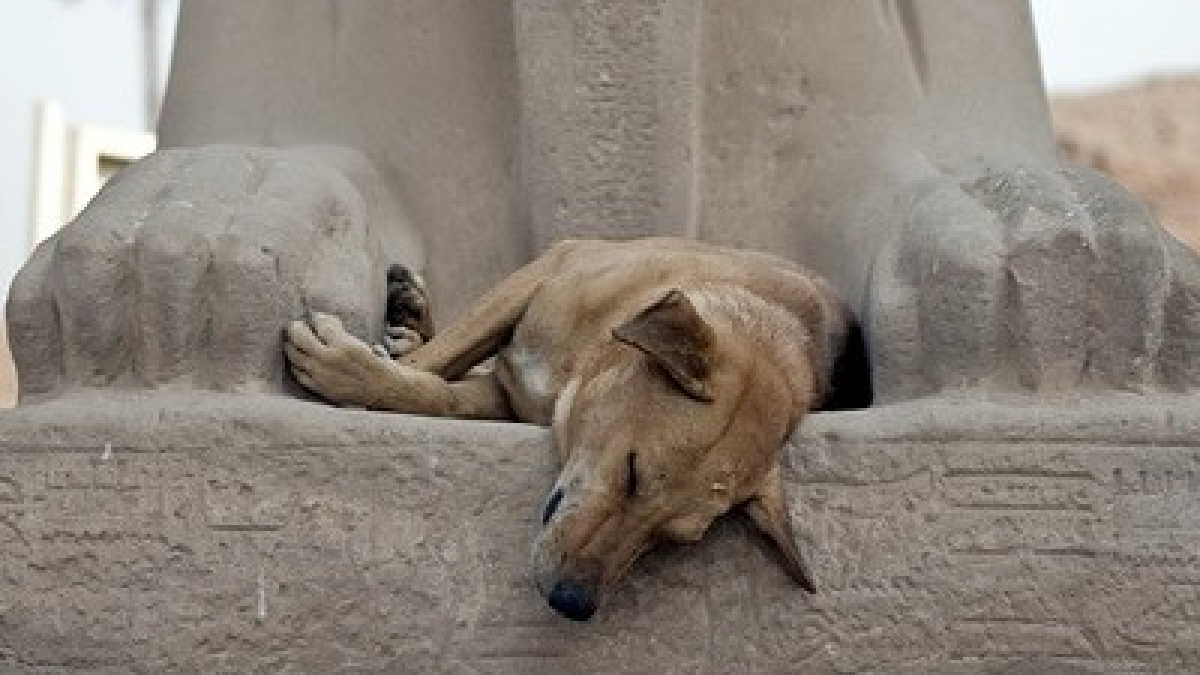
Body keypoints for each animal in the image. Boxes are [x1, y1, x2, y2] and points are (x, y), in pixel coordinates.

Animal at [283, 236, 873, 619]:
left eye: (674, 539)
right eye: (634, 473)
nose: (573, 603)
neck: (582, 363)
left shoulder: (502, 398)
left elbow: (437, 393)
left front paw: (367, 373)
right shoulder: (549, 268)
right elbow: (438, 361)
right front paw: (350, 369)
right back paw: (408, 313)